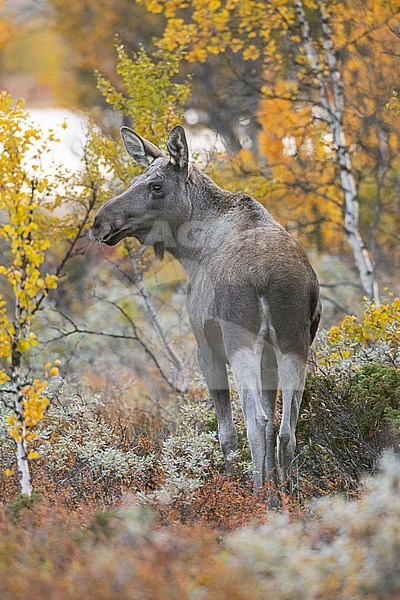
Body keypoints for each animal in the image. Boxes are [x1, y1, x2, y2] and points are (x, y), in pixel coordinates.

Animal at [89, 124, 320, 490]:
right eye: (135, 180)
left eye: (156, 186)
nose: (100, 222)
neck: (190, 251)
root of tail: (271, 278)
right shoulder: (271, 355)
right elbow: (274, 423)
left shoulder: (205, 348)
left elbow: (226, 432)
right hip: (294, 342)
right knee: (286, 429)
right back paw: (284, 493)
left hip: (240, 341)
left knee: (255, 421)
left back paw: (255, 493)